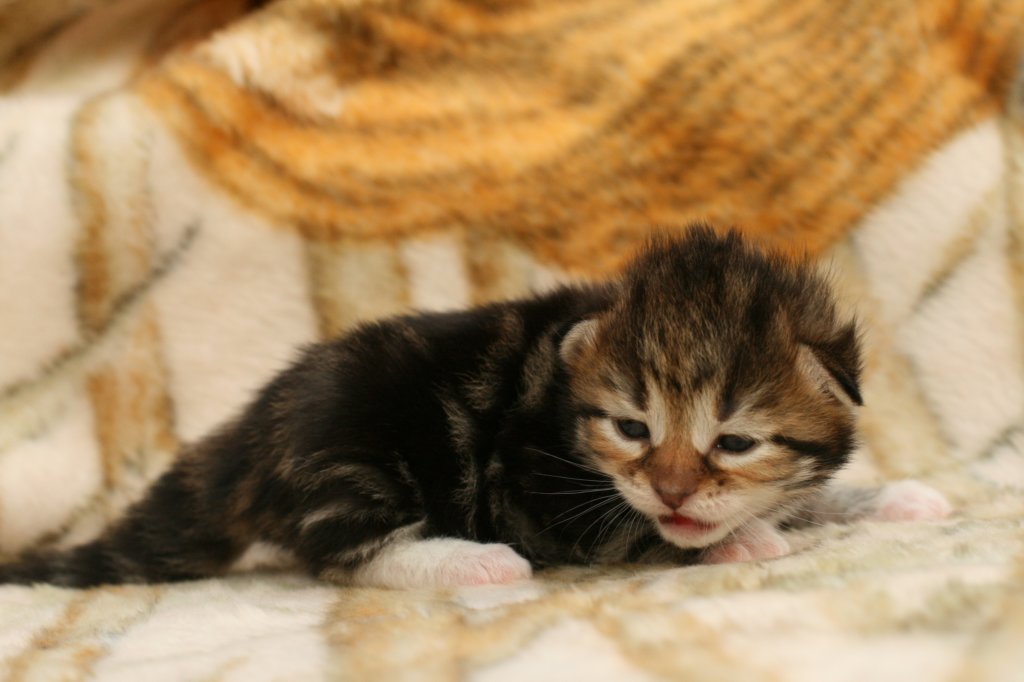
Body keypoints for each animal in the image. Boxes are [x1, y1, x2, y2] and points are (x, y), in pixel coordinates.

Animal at [0, 225, 950, 590]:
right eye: (633, 429)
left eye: (737, 441)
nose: (675, 490)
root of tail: (250, 435)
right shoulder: (532, 490)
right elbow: (634, 530)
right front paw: (740, 540)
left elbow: (803, 498)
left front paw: (888, 498)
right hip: (355, 459)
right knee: (343, 558)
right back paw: (467, 560)